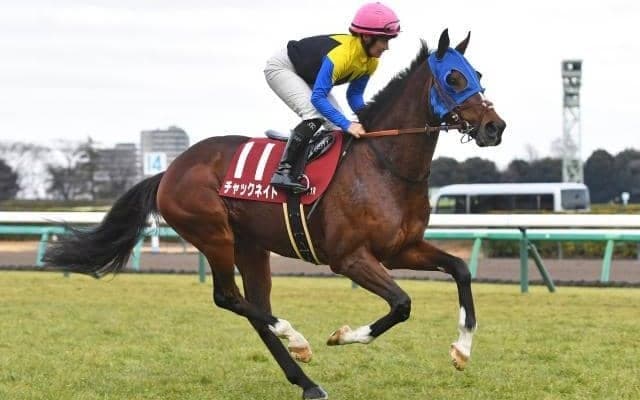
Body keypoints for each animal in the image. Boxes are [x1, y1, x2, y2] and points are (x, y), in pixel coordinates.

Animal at [44, 29, 506, 400]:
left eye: (479, 75)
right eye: (454, 78)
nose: (495, 127)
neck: (383, 163)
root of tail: (169, 170)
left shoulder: (401, 249)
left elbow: (460, 270)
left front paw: (462, 349)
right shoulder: (349, 258)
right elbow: (402, 304)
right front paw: (342, 335)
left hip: (251, 246)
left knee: (254, 307)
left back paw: (307, 381)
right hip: (213, 233)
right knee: (229, 298)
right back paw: (296, 337)